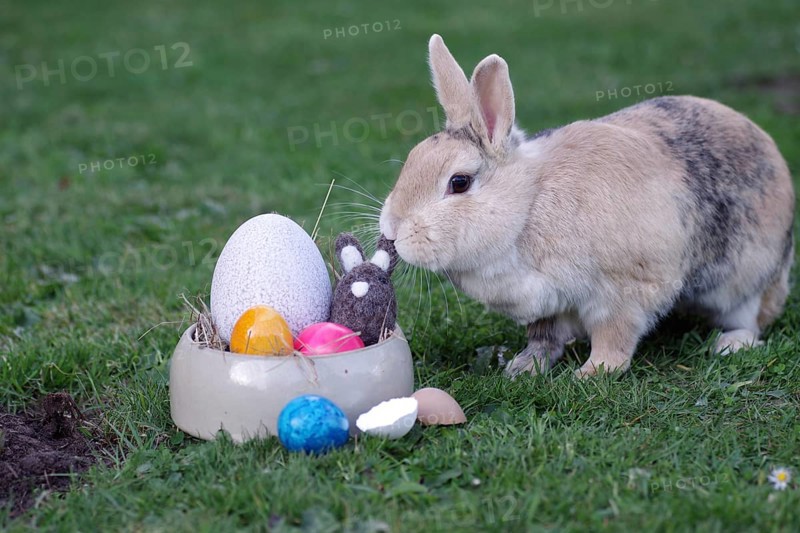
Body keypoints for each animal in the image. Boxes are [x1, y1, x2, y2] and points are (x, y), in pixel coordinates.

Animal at [378, 34, 795, 377]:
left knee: (752, 319)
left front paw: (593, 373)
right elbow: (544, 338)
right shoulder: (549, 306)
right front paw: (523, 367)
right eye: (412, 159)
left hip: (747, 278)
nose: (392, 230)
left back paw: (730, 344)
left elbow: (615, 336)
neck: (529, 204)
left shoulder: (623, 292)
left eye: (459, 183)